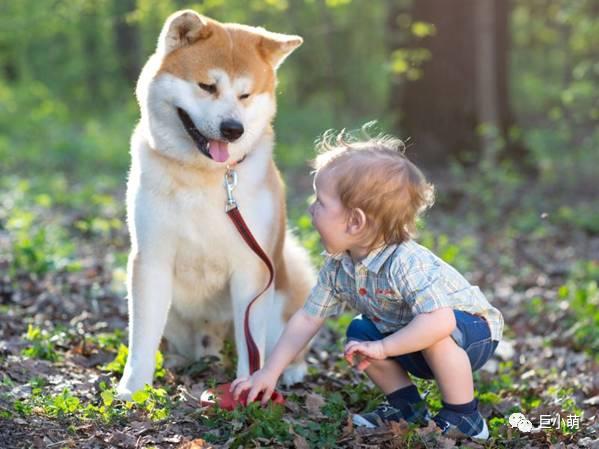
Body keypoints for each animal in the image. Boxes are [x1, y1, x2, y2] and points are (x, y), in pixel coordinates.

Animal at [115, 8, 316, 398]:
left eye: (245, 94)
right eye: (208, 86)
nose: (233, 129)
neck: (204, 176)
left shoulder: (252, 268)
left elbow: (252, 348)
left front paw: (250, 387)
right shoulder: (150, 260)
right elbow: (142, 338)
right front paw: (134, 390)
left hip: (285, 287)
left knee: (284, 347)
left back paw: (289, 372)